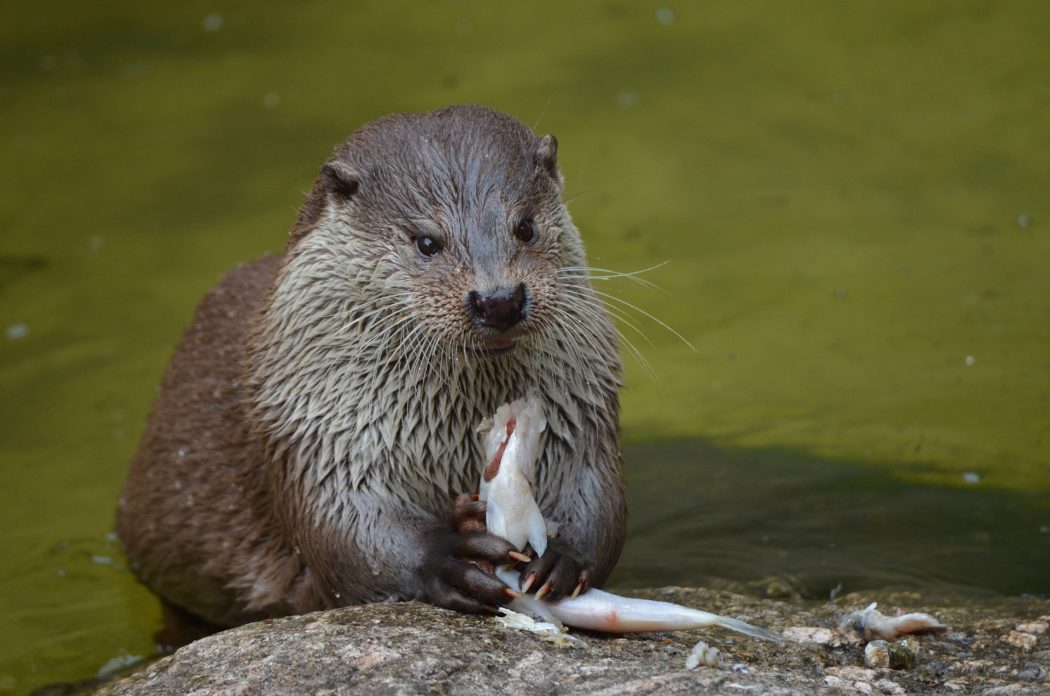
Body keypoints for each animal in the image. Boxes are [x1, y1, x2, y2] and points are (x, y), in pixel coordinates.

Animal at [117, 105, 626, 632]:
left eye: (524, 227)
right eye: (427, 242)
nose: (498, 299)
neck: (451, 432)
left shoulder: (581, 409)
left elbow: (597, 496)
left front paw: (564, 557)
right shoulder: (315, 431)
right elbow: (348, 535)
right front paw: (448, 556)